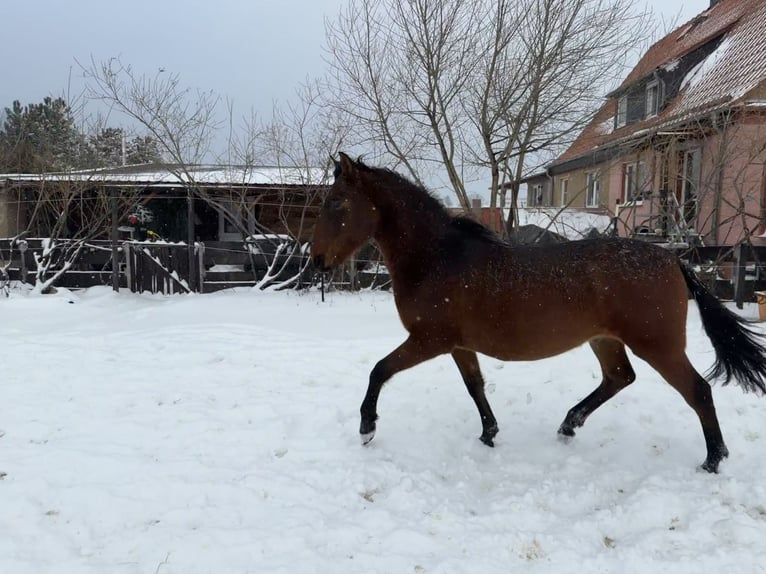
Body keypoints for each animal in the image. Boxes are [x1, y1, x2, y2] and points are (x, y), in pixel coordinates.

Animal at [311, 152, 766, 473]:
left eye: (337, 203)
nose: (316, 261)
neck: (438, 257)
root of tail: (673, 260)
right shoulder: (458, 345)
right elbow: (475, 386)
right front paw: (489, 434)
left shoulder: (429, 340)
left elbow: (379, 370)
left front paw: (367, 428)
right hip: (605, 340)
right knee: (619, 378)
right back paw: (568, 425)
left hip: (658, 345)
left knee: (698, 390)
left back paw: (713, 460)